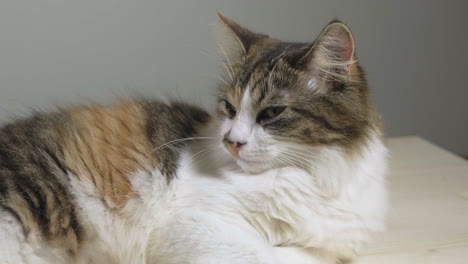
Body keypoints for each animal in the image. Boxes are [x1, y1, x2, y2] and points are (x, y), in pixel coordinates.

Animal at [0, 14, 388, 264]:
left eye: (271, 113)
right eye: (229, 108)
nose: (232, 142)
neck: (315, 175)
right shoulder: (191, 227)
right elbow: (276, 255)